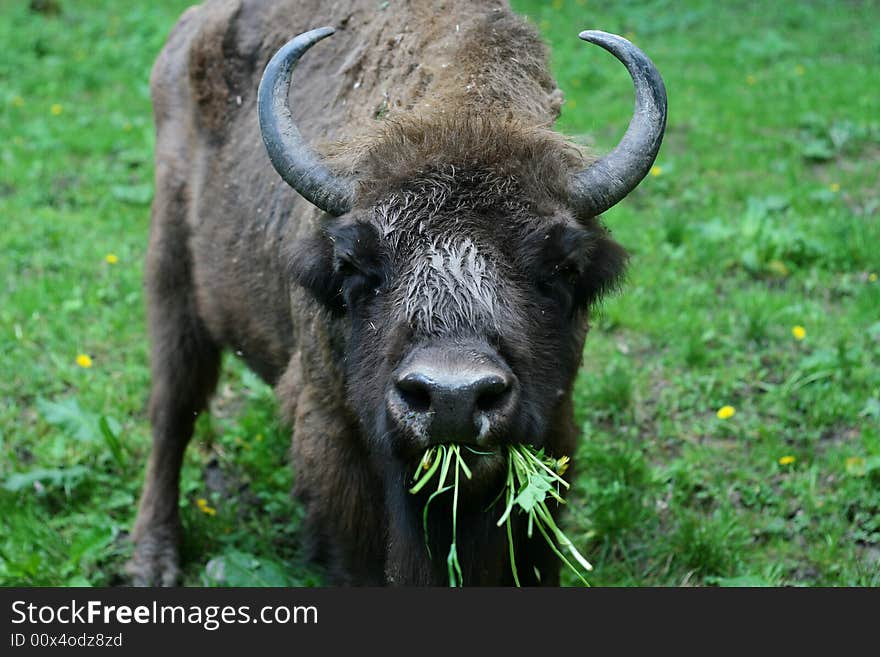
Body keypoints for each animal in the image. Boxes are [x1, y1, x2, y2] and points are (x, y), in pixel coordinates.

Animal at [129, 0, 668, 584]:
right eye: (353, 265)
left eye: (562, 267)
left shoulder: (556, 426)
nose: (453, 398)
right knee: (173, 413)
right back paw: (153, 561)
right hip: (171, 281)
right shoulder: (334, 431)